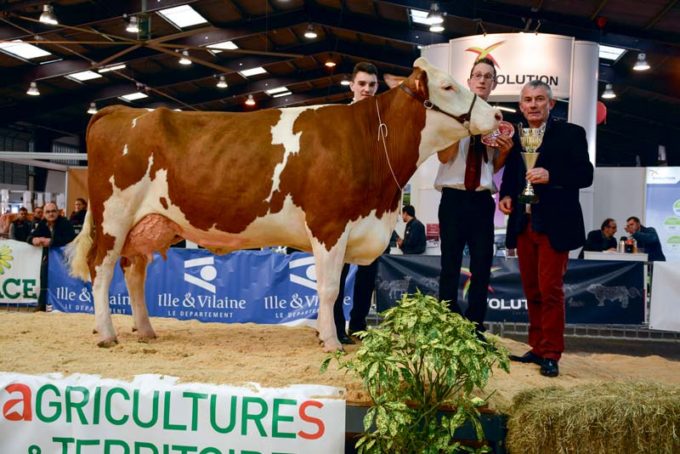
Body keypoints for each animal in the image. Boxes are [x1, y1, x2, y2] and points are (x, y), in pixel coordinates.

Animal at [67, 56, 500, 352]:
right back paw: (107, 334)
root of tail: (120, 110)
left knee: (134, 272)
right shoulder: (329, 225)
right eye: (447, 86)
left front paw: (329, 334)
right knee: (102, 270)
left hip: (149, 222)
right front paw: (332, 342)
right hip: (113, 217)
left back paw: (145, 330)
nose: (497, 114)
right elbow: (328, 289)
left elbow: (335, 290)